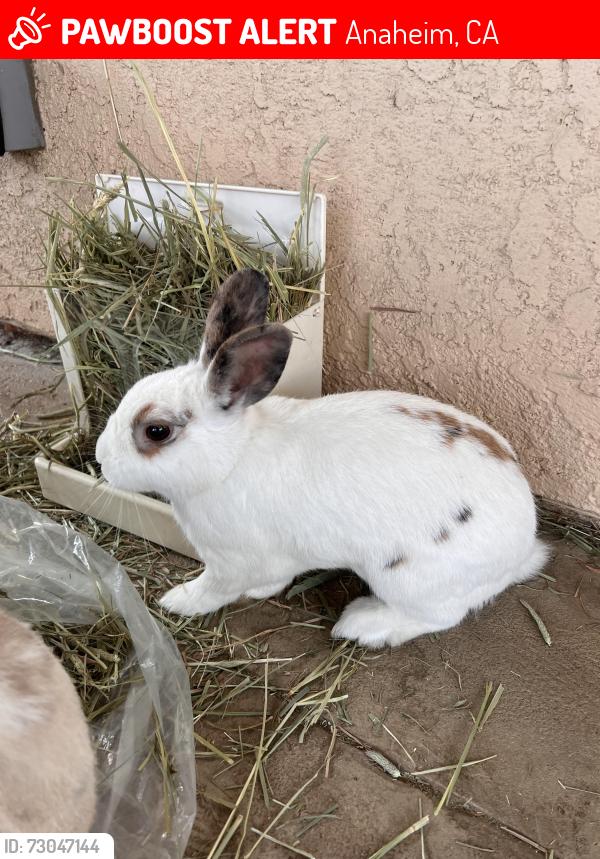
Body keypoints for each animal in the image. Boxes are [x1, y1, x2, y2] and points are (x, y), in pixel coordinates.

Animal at [95, 268, 548, 649]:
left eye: (157, 431)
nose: (101, 459)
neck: (231, 459)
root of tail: (523, 547)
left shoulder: (230, 563)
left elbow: (213, 590)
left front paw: (176, 601)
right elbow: (272, 579)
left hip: (406, 578)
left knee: (441, 616)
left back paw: (363, 624)